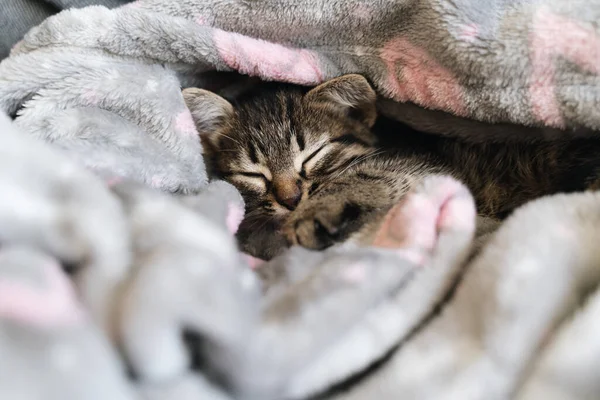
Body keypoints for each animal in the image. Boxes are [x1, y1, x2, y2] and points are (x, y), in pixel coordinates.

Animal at [184, 74, 600, 260]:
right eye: (253, 174)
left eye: (313, 155)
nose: (291, 199)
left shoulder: (423, 163)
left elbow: (365, 176)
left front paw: (312, 213)